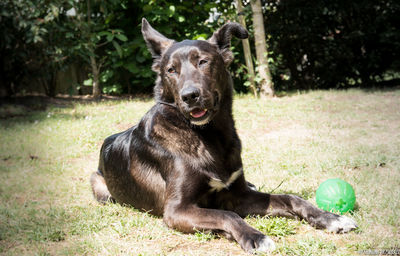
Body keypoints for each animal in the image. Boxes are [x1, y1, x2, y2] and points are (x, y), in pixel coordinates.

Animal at [90, 18, 356, 254]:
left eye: (203, 61)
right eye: (171, 70)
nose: (190, 96)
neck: (208, 135)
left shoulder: (239, 196)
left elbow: (291, 198)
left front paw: (331, 218)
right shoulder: (176, 210)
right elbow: (227, 215)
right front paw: (255, 236)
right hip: (101, 188)